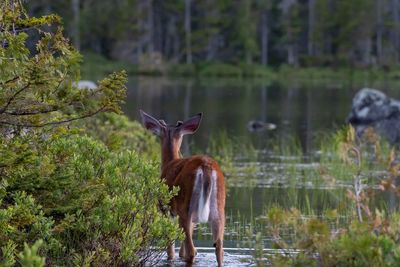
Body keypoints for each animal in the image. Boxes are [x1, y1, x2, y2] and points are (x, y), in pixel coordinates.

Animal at [140, 110, 225, 266]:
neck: (169, 162)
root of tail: (206, 167)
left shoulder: (165, 208)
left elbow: (171, 245)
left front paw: (171, 258)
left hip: (185, 206)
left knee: (192, 251)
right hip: (218, 208)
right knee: (218, 248)